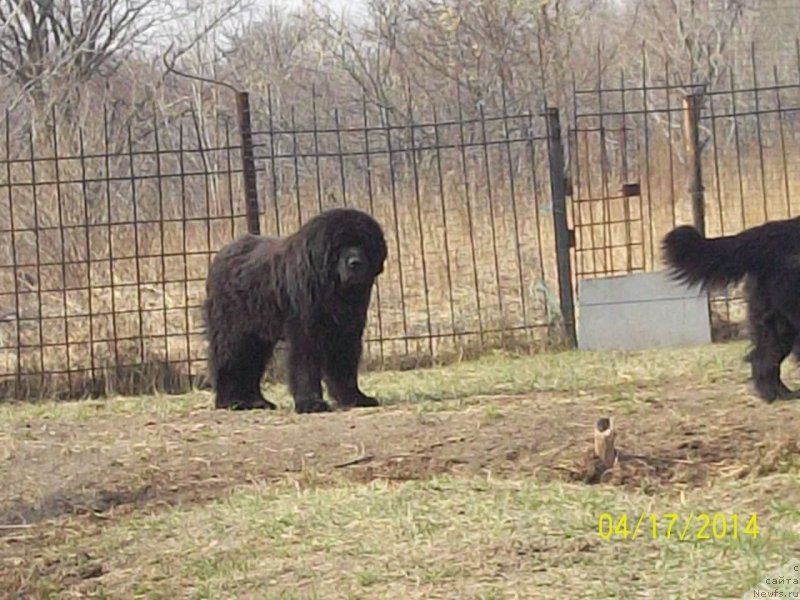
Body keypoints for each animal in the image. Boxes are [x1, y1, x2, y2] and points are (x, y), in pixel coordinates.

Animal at [202, 207, 386, 412]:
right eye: (340, 246)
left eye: (364, 244)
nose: (355, 262)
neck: (331, 288)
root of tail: (220, 256)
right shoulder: (305, 330)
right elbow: (305, 365)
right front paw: (311, 403)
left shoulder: (346, 331)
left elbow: (345, 365)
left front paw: (354, 398)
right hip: (233, 332)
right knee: (229, 360)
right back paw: (231, 402)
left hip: (257, 336)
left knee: (250, 365)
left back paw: (256, 402)